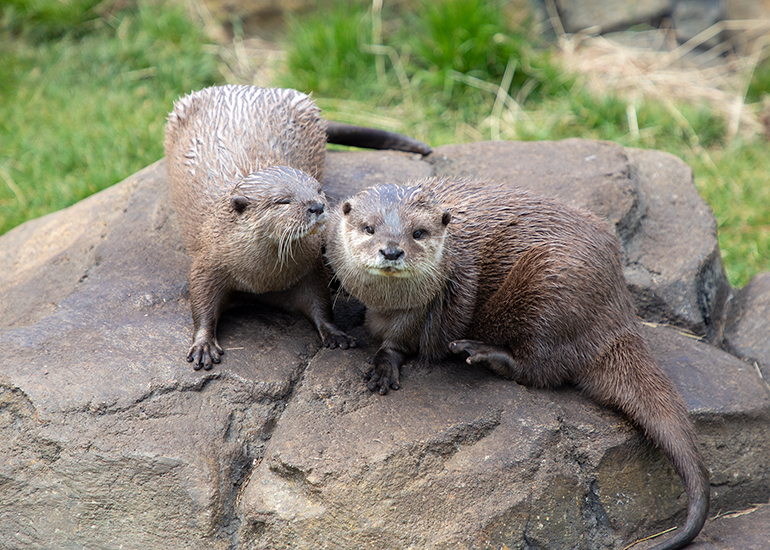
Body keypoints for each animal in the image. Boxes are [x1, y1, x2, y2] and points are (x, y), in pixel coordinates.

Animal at [164, 85, 430, 370]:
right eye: (283, 200)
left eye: (318, 190)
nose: (317, 206)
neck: (262, 279)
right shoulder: (208, 261)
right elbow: (201, 300)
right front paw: (203, 344)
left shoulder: (309, 267)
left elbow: (319, 301)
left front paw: (334, 333)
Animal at [326, 177, 710, 550]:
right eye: (369, 228)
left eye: (418, 232)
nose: (392, 250)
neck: (386, 304)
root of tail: (619, 309)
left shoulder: (425, 309)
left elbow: (402, 341)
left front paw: (385, 362)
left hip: (550, 286)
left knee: (543, 368)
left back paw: (482, 352)